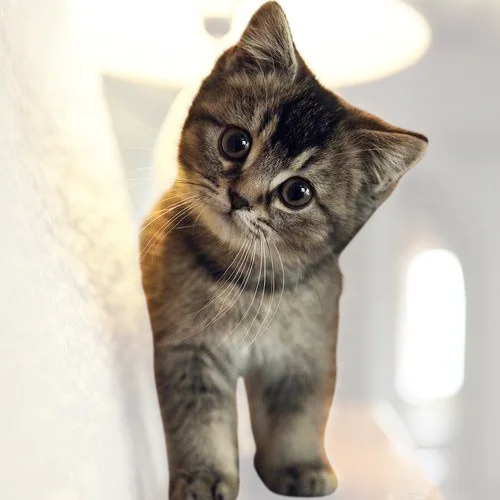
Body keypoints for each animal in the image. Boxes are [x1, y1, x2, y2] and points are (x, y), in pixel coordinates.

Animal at [140, 1, 426, 498]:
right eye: (236, 142)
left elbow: (298, 422)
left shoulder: (304, 358)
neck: (246, 285)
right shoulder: (187, 351)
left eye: (297, 193)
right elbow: (200, 427)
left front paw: (300, 468)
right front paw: (203, 478)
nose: (239, 198)